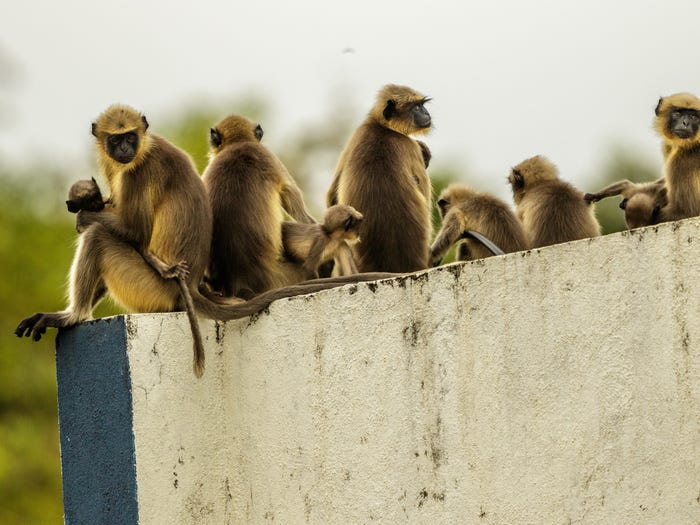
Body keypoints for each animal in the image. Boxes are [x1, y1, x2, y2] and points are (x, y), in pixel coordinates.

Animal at [326, 84, 432, 272]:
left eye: (422, 105)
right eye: (416, 107)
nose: (426, 113)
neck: (383, 129)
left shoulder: (357, 135)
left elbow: (332, 198)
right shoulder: (410, 147)